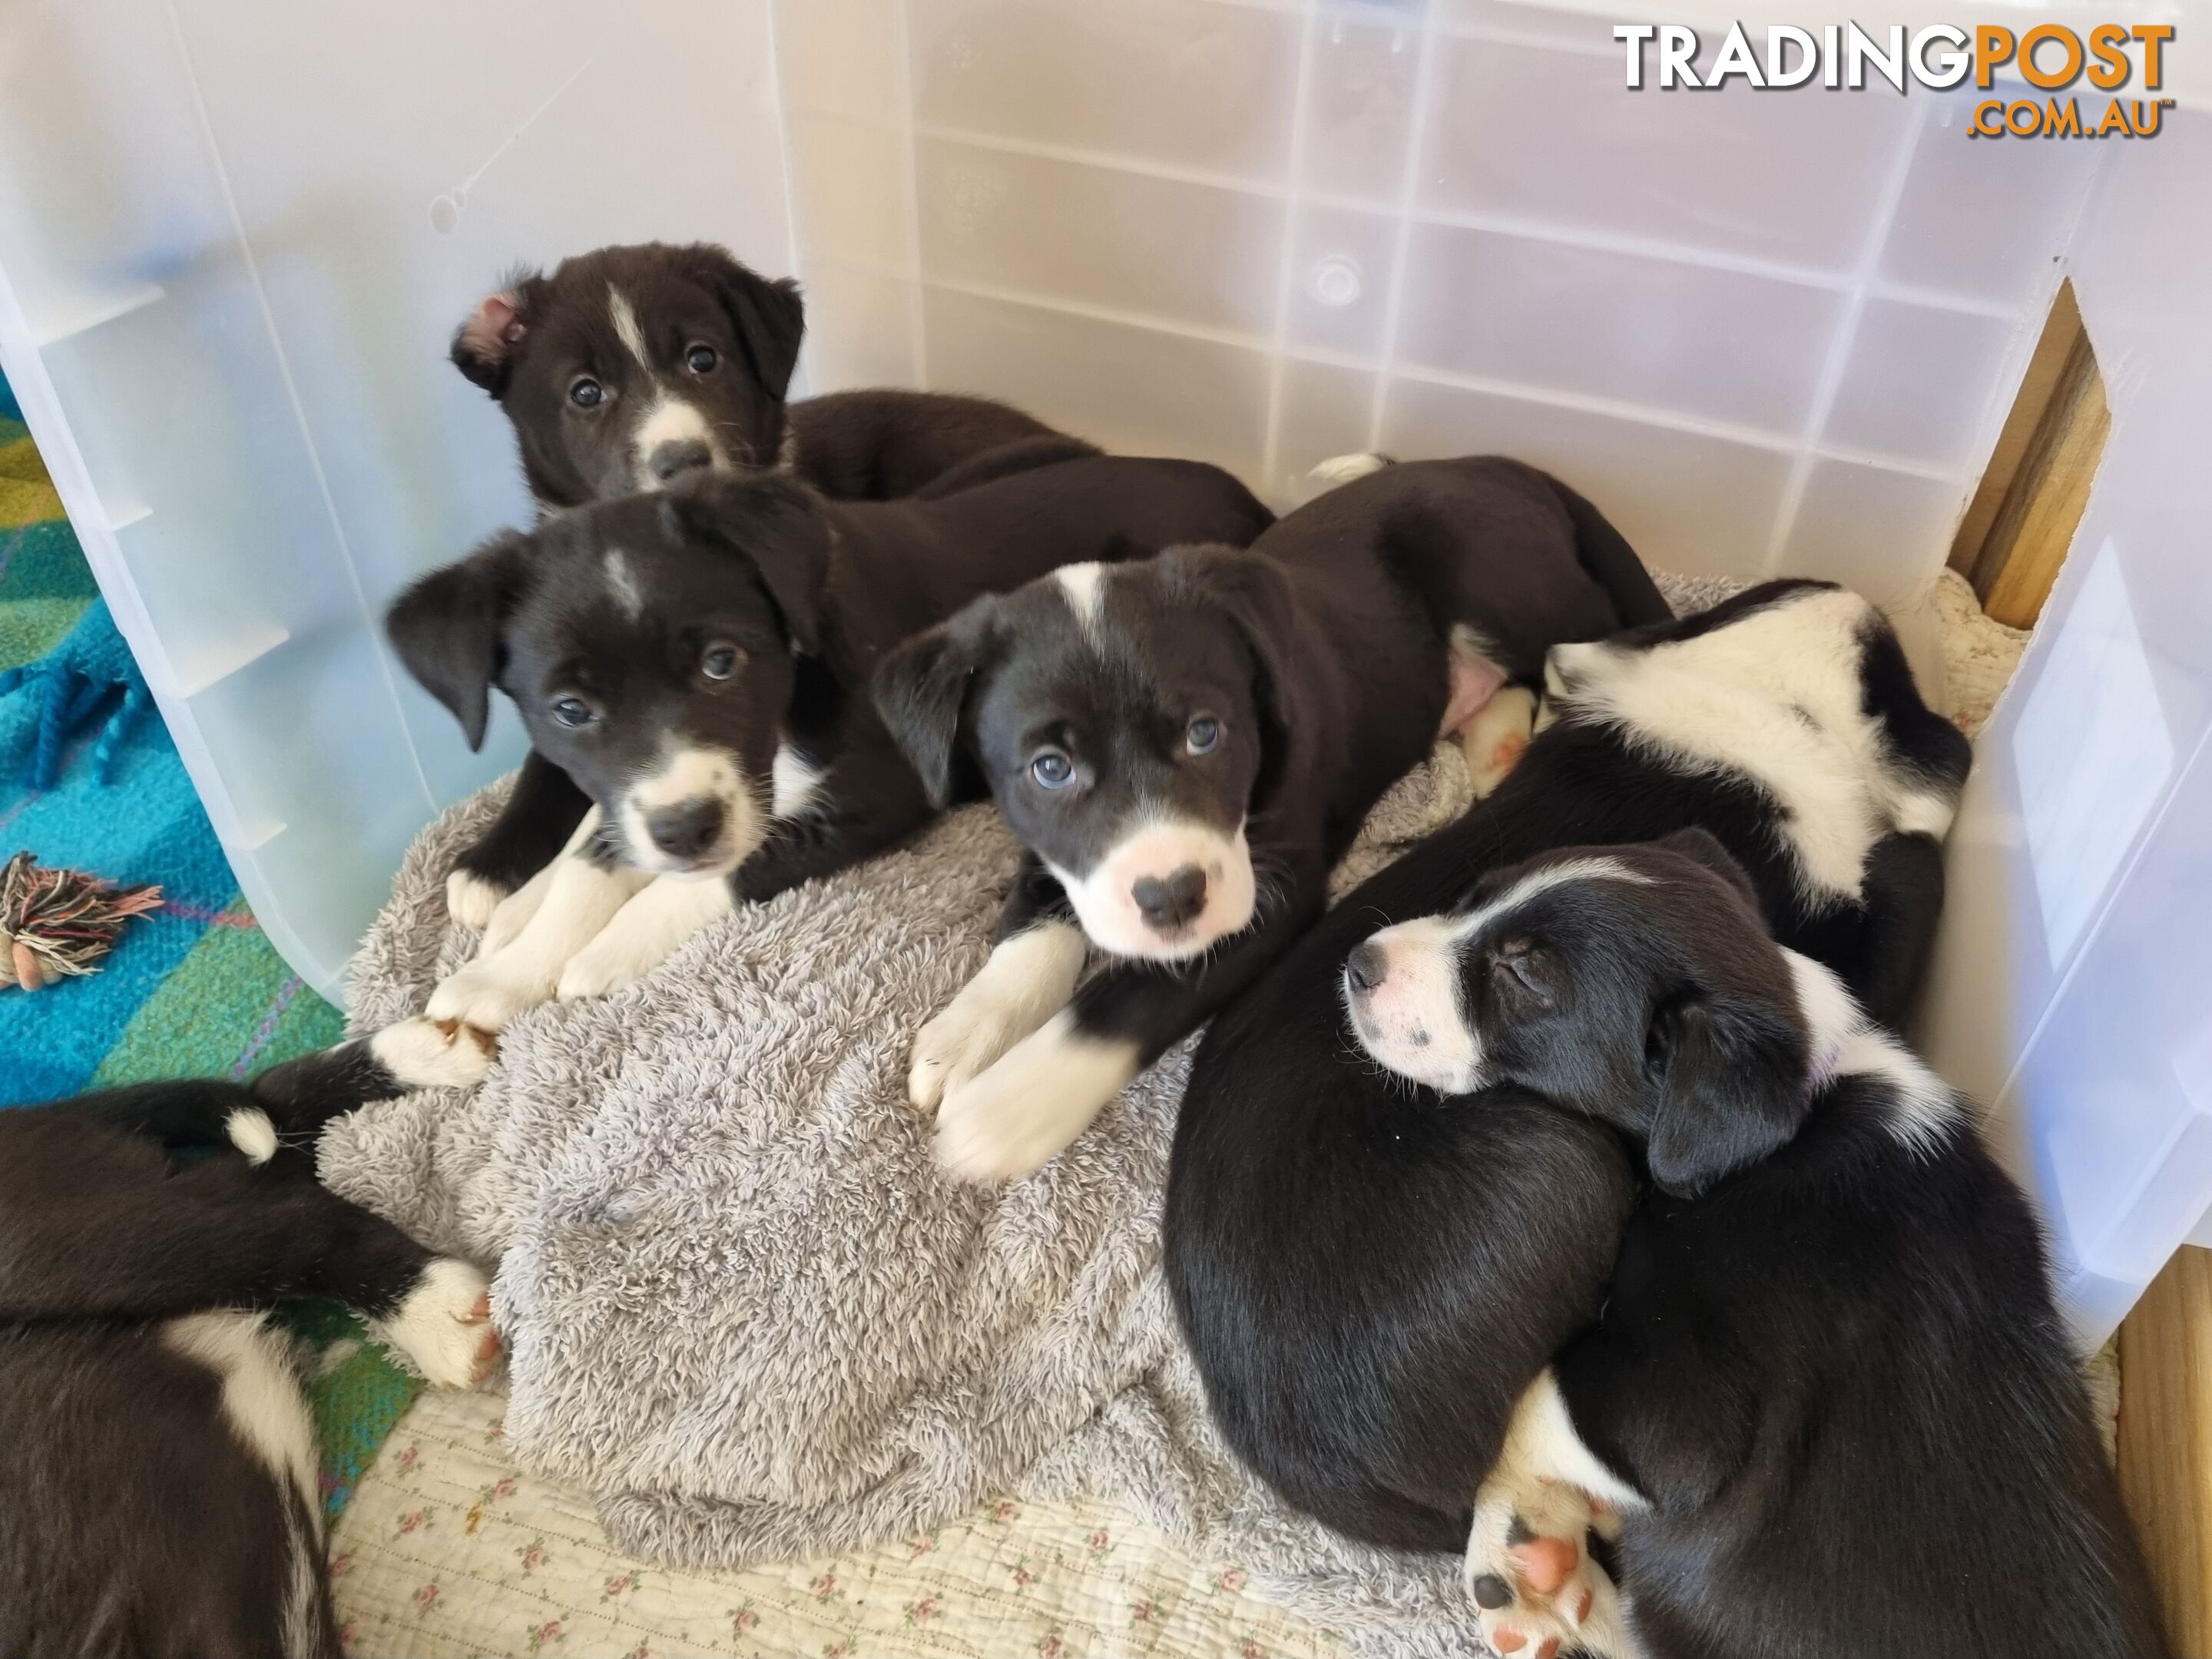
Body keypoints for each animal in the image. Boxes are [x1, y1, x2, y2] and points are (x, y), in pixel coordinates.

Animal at [360, 451, 1265, 1092]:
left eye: (722, 662)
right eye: (571, 710)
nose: (686, 831)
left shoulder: (874, 797)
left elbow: (714, 875)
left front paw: (601, 953)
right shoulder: (644, 797)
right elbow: (595, 858)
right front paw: (507, 969)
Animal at [871, 451, 1663, 1185]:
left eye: (1205, 733)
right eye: (1050, 769)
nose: (1171, 899)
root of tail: (1502, 463)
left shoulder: (1267, 898)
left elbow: (1131, 1001)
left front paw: (1001, 1112)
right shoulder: (1052, 847)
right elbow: (1032, 922)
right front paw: (967, 1032)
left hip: (1512, 587)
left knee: (1597, 642)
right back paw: (1494, 741)